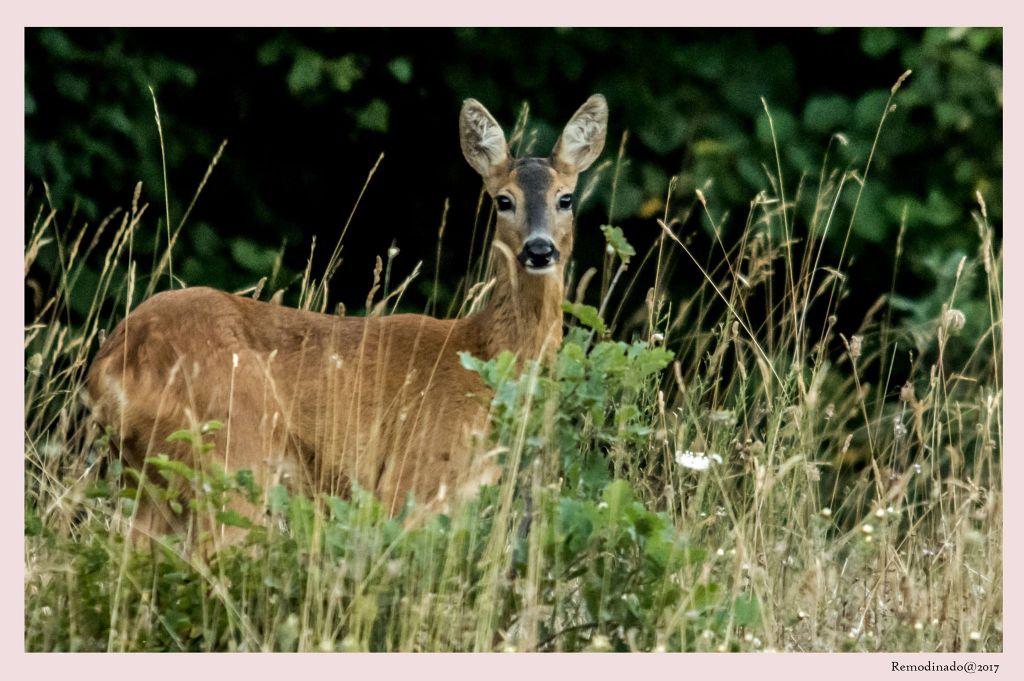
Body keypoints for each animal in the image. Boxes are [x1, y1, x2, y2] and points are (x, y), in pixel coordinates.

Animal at [86, 93, 606, 544]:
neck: (482, 359)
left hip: (153, 478)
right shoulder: (413, 478)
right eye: (503, 200)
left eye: (565, 198)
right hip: (231, 452)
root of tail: (111, 362)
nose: (539, 250)